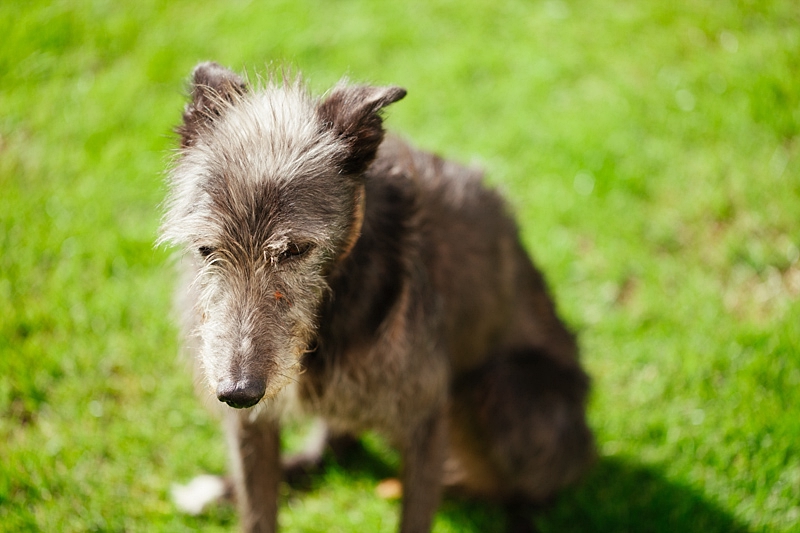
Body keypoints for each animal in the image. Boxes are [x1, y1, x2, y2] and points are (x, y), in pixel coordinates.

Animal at [159, 63, 592, 532]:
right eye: (206, 248)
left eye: (295, 249)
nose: (238, 392)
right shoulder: (253, 422)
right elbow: (258, 513)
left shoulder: (426, 418)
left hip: (502, 393)